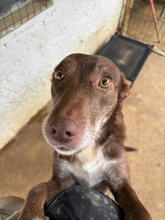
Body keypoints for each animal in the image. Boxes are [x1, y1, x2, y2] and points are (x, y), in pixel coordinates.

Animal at [8, 53, 151, 220]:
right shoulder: (62, 180)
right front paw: (30, 213)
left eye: (105, 82)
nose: (60, 130)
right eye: (59, 74)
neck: (90, 147)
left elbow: (140, 210)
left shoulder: (120, 182)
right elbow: (37, 188)